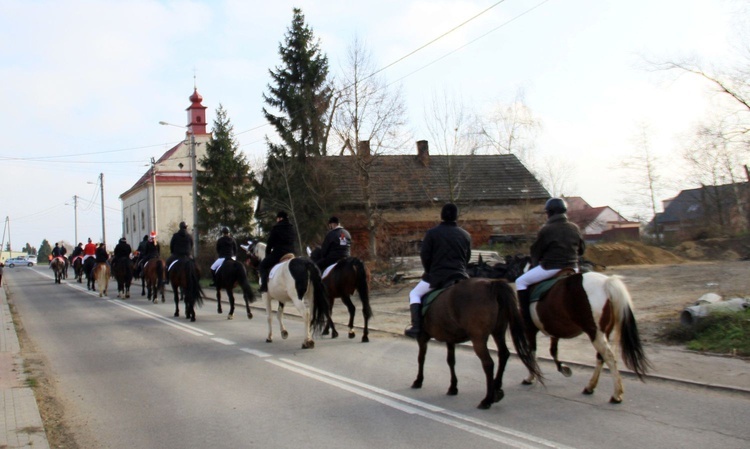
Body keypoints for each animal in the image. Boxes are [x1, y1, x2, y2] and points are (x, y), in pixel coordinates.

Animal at [414, 278, 544, 412]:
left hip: (478, 339)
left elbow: (421, 358)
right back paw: (496, 389)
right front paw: (453, 387)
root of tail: (491, 284)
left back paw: (487, 400)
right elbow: (451, 361)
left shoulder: (422, 337)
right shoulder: (450, 339)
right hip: (498, 332)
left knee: (488, 363)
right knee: (503, 354)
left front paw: (418, 381)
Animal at [524, 270, 652, 402]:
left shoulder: (530, 329)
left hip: (595, 333)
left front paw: (531, 376)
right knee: (601, 357)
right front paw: (563, 368)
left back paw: (616, 394)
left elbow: (531, 352)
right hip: (603, 333)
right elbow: (552, 351)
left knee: (609, 357)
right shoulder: (553, 329)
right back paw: (590, 387)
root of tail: (606, 282)